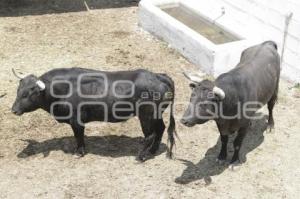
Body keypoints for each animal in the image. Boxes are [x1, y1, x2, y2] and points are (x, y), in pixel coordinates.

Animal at [11, 67, 176, 161]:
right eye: (18, 91)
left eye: (27, 94)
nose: (13, 110)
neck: (63, 89)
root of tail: (158, 76)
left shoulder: (76, 121)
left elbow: (78, 136)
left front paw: (79, 152)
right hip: (156, 114)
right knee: (160, 129)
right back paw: (153, 151)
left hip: (146, 115)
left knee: (150, 135)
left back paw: (141, 156)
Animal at [180, 41, 282, 169]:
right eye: (191, 97)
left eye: (204, 103)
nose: (184, 120)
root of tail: (267, 44)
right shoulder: (221, 123)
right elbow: (224, 139)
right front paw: (221, 157)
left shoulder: (243, 126)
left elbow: (237, 143)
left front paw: (234, 161)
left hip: (274, 90)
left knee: (271, 107)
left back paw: (270, 126)